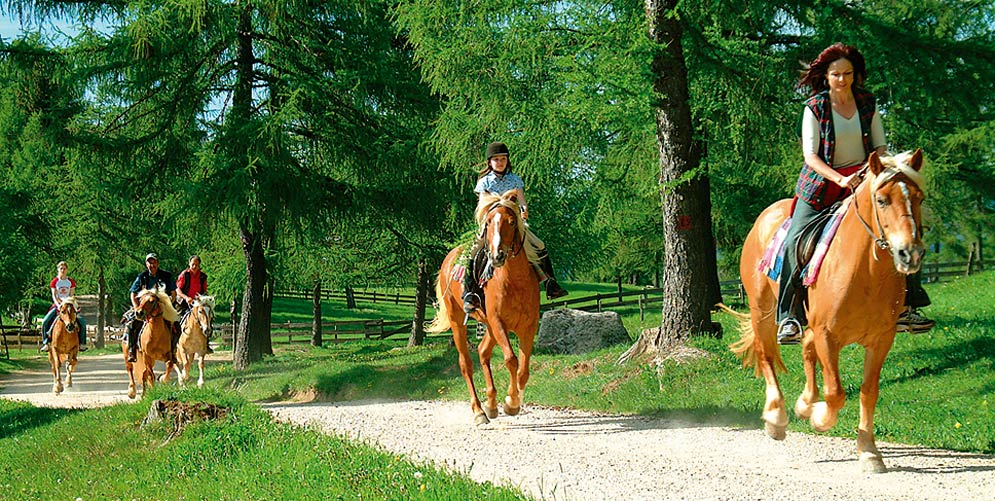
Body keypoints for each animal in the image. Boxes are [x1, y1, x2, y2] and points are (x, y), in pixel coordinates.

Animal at [424, 189, 540, 424]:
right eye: (488, 222)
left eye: (511, 222)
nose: (497, 256)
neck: (515, 281)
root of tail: (449, 259)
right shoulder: (498, 322)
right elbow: (511, 360)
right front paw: (511, 403)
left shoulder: (528, 326)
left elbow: (523, 370)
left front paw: (512, 401)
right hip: (458, 322)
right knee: (466, 363)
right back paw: (479, 411)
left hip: (489, 327)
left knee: (483, 351)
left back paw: (491, 405)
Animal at [728, 150, 928, 470]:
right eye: (882, 199)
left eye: (919, 198)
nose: (910, 254)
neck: (865, 272)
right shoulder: (827, 335)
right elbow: (835, 392)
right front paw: (820, 418)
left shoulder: (881, 340)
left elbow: (868, 392)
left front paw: (869, 451)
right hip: (762, 310)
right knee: (766, 354)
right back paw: (776, 417)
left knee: (806, 350)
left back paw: (804, 403)